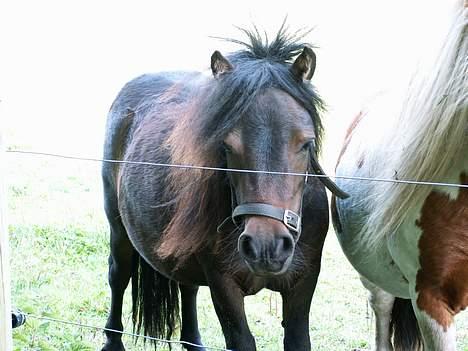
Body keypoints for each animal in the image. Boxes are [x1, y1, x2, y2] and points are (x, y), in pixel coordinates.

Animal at [100, 27, 346, 351]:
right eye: (227, 146)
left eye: (306, 144)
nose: (266, 246)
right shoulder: (223, 284)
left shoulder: (303, 282)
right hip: (119, 229)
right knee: (119, 275)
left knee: (187, 287)